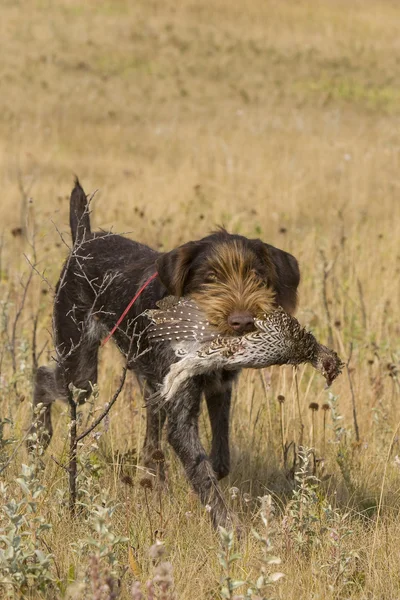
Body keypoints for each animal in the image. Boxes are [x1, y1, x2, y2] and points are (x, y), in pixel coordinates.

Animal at [32, 180, 300, 528]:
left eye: (256, 276)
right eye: (210, 278)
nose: (241, 322)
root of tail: (84, 239)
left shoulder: (220, 388)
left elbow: (219, 460)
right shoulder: (182, 414)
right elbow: (204, 475)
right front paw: (230, 531)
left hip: (146, 382)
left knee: (150, 435)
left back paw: (152, 482)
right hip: (81, 372)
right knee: (42, 378)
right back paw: (37, 441)